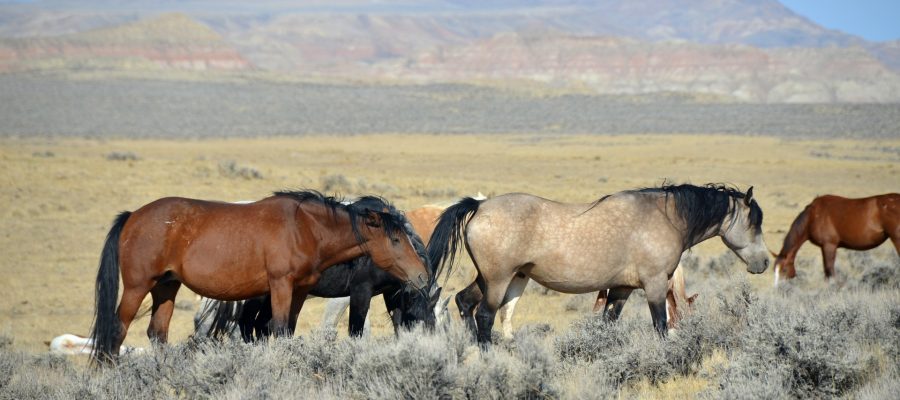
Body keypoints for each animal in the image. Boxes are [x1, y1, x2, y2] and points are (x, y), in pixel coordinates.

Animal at [90, 191, 428, 362]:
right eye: (395, 239)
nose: (422, 276)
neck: (304, 228)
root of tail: (133, 216)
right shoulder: (280, 286)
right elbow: (276, 329)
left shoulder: (299, 291)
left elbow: (286, 331)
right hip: (138, 287)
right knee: (117, 331)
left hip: (166, 287)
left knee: (157, 334)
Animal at [426, 184, 768, 344]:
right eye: (754, 221)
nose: (764, 262)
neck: (665, 217)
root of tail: (480, 206)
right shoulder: (655, 285)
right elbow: (661, 325)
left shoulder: (621, 290)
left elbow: (608, 325)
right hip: (498, 280)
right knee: (484, 315)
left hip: (491, 278)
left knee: (464, 302)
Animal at [768, 193, 896, 284]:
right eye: (774, 270)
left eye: (784, 270)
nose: (778, 289)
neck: (813, 216)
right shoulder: (824, 247)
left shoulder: (829, 246)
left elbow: (829, 272)